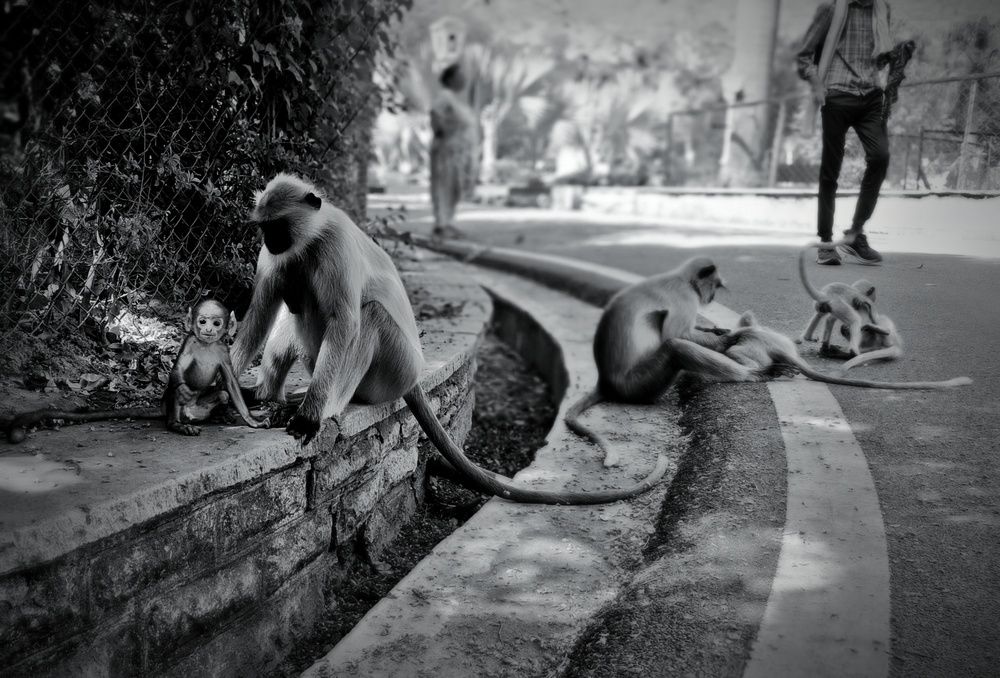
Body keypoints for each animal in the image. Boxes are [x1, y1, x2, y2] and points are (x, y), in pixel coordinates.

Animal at [5, 300, 268, 443]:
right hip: (174, 408)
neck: (206, 344)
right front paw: (183, 388)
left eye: (216, 323)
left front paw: (251, 420)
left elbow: (231, 383)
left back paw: (220, 416)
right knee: (175, 396)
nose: (208, 330)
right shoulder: (190, 342)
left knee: (222, 394)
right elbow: (178, 371)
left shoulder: (223, 348)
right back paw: (177, 424)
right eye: (202, 321)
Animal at [229, 172, 669, 505]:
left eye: (277, 227)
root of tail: (414, 376)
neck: (311, 236)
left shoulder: (333, 246)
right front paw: (228, 385)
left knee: (365, 315)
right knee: (291, 302)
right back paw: (266, 394)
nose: (271, 242)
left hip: (392, 369)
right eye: (264, 229)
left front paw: (311, 414)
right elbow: (261, 310)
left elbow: (345, 322)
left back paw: (325, 408)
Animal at [564, 258, 796, 467]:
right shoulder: (685, 297)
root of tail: (605, 381)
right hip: (638, 385)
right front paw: (729, 339)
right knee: (675, 346)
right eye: (716, 285)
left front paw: (718, 331)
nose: (712, 297)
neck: (683, 279)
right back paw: (757, 373)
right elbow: (677, 334)